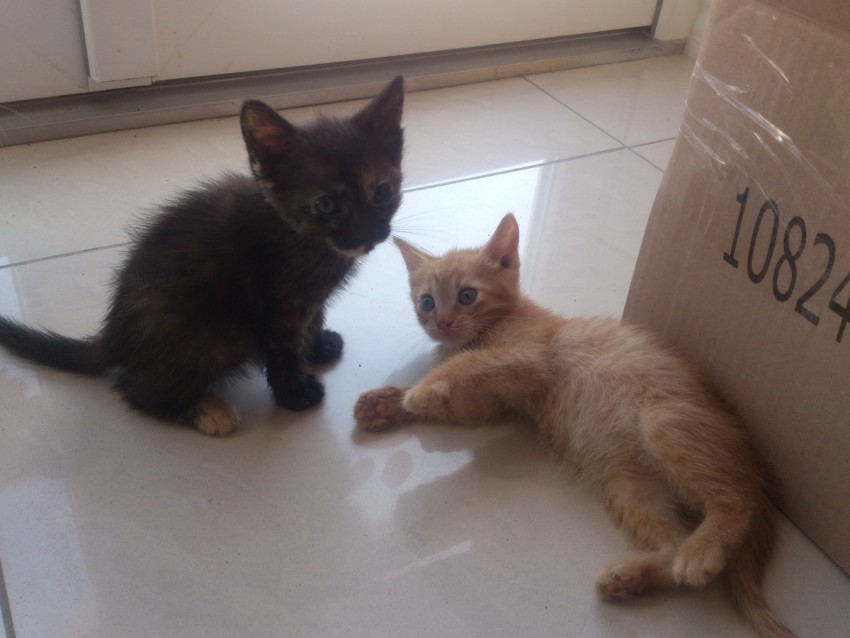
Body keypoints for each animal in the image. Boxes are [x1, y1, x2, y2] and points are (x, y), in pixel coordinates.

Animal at [0, 75, 405, 436]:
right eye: (326, 205)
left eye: (382, 192)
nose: (369, 234)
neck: (305, 238)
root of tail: (114, 336)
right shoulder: (280, 304)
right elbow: (284, 351)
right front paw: (297, 393)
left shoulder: (308, 299)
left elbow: (316, 318)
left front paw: (318, 346)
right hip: (215, 336)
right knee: (137, 391)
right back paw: (206, 411)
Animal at [354, 213, 796, 638]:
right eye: (426, 302)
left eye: (467, 295)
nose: (441, 323)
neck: (497, 325)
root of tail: (751, 459)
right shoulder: (493, 402)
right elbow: (459, 398)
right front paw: (388, 403)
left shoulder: (530, 357)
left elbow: (467, 363)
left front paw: (420, 390)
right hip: (628, 486)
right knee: (672, 544)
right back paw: (633, 575)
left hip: (663, 422)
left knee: (736, 499)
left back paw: (702, 551)